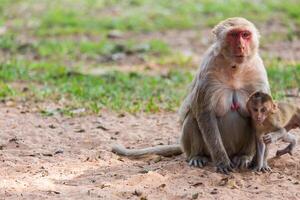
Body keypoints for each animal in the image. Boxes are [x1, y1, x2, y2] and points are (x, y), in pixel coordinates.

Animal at [112, 17, 270, 173]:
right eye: (233, 35)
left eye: (245, 35)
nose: (241, 47)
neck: (234, 68)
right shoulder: (208, 70)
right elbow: (204, 113)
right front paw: (222, 161)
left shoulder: (258, 71)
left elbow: (263, 115)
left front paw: (261, 162)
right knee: (193, 118)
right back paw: (197, 156)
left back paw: (244, 156)